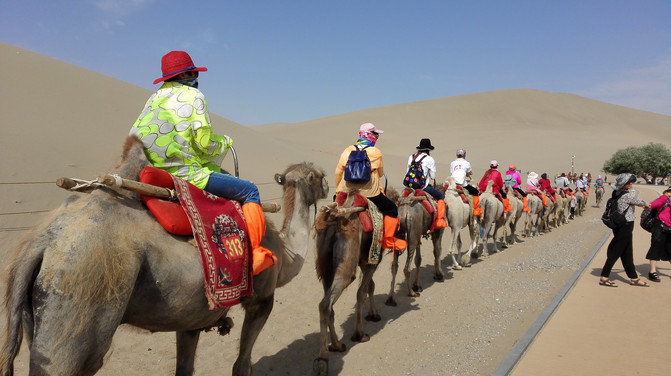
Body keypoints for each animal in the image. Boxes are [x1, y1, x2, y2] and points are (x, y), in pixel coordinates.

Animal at [0, 135, 330, 376]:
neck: (286, 253)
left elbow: (184, 369)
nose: (328, 185)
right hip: (80, 286)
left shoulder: (192, 318)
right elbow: (241, 365)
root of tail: (40, 241)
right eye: (318, 176)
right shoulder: (262, 299)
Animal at [314, 192, 384, 376]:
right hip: (346, 267)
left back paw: (336, 345)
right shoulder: (371, 260)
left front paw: (373, 315)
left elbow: (370, 287)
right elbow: (361, 293)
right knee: (326, 303)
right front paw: (359, 334)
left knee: (327, 304)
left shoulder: (365, 261)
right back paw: (322, 359)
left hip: (326, 268)